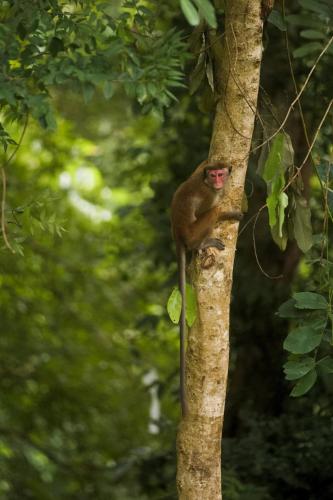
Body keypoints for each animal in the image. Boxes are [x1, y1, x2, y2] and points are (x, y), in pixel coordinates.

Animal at [171, 159, 241, 414]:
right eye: (214, 176)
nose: (219, 180)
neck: (208, 185)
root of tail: (177, 235)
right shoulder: (207, 195)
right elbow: (209, 209)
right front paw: (229, 212)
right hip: (191, 233)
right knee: (210, 215)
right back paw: (201, 242)